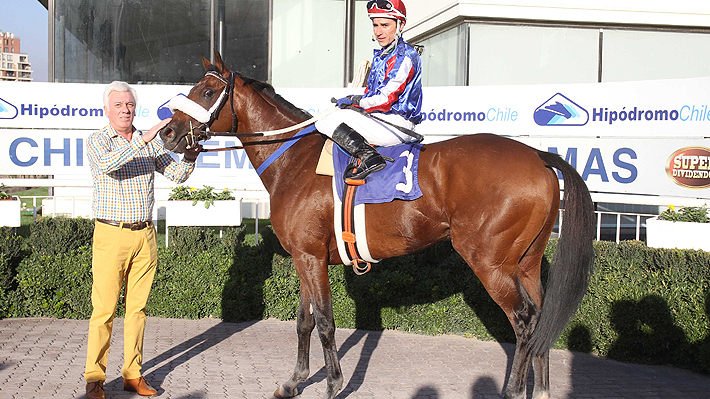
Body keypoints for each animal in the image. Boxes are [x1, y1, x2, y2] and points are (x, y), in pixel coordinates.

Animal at [160, 53, 596, 399]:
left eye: (204, 92)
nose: (167, 132)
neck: (294, 160)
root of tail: (539, 155)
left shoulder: (311, 258)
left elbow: (325, 322)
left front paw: (333, 385)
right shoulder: (305, 257)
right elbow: (303, 322)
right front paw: (294, 381)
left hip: (490, 263)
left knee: (523, 322)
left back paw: (512, 390)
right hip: (526, 263)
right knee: (541, 321)